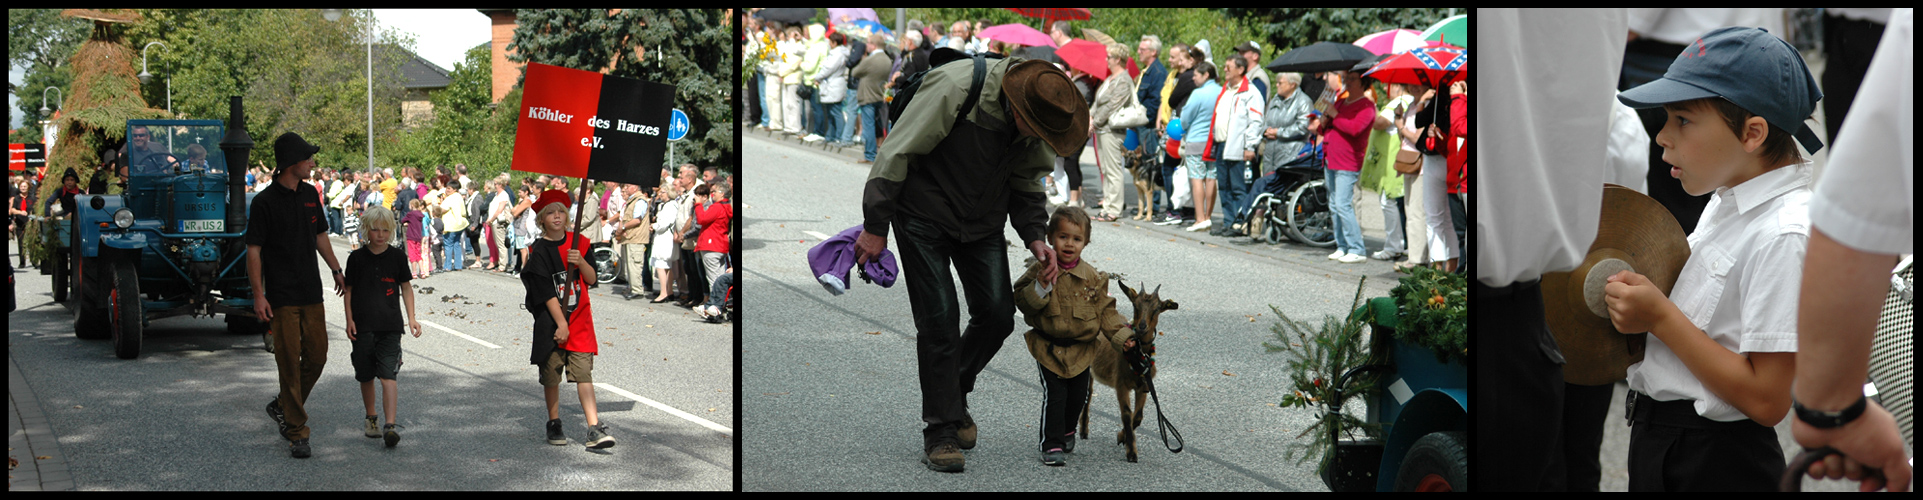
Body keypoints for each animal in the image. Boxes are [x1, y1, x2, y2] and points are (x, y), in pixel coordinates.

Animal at [1076, 278, 1176, 463]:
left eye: (1157, 308)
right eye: (1135, 305)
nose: (1142, 326)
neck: (1137, 357)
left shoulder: (1143, 385)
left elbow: (1138, 417)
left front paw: (1121, 437)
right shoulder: (1121, 383)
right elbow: (1126, 414)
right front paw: (1131, 453)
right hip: (1086, 366)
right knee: (1087, 393)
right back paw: (1083, 430)